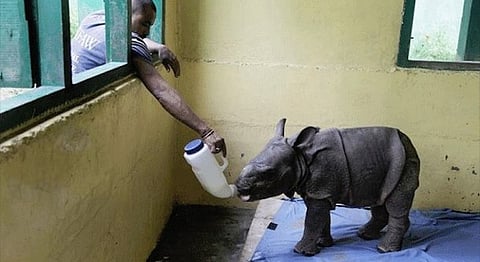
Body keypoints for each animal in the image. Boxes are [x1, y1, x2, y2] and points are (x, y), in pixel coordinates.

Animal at [236, 118, 420, 256]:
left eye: (270, 173)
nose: (239, 186)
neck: (300, 156)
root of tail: (409, 142)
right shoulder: (319, 192)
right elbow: (321, 218)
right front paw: (322, 244)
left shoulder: (321, 191)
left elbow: (312, 220)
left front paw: (301, 252)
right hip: (386, 166)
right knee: (381, 198)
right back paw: (365, 235)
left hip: (404, 161)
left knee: (395, 202)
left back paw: (383, 249)